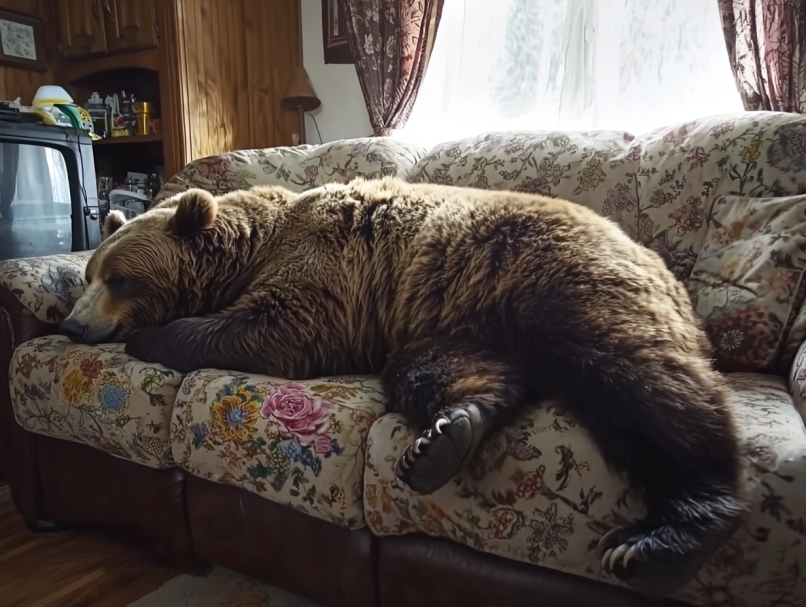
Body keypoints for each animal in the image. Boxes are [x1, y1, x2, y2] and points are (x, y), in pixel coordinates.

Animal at [60, 176, 744, 597]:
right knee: (439, 368)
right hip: (448, 313)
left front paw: (152, 337)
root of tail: (654, 256)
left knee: (641, 381)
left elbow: (279, 325)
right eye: (89, 272)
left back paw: (666, 536)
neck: (250, 249)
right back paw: (447, 435)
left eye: (119, 277)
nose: (71, 324)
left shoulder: (323, 268)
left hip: (556, 275)